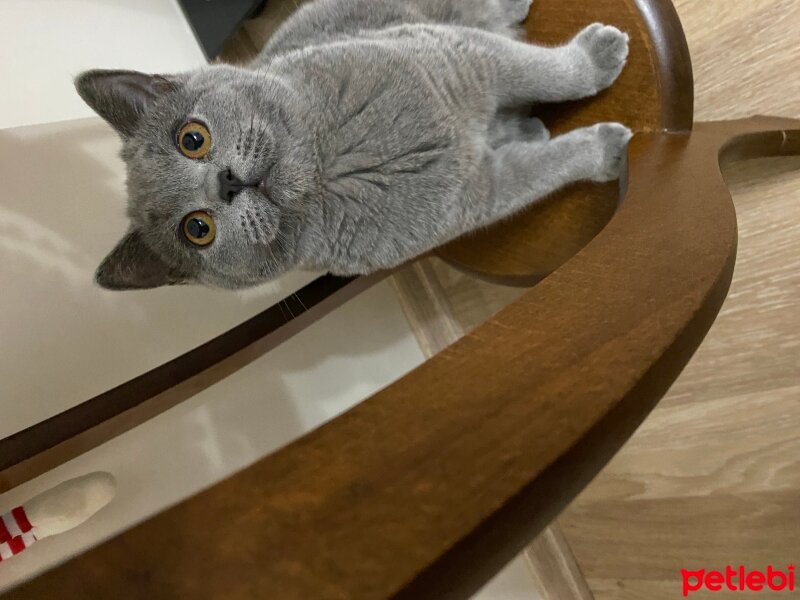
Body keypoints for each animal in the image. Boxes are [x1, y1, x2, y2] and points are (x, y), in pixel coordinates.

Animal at [75, 0, 628, 290]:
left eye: (192, 138)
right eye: (197, 229)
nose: (226, 183)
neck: (334, 166)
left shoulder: (457, 57)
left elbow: (547, 72)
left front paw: (598, 57)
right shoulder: (472, 196)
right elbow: (542, 169)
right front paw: (606, 151)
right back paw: (524, 129)